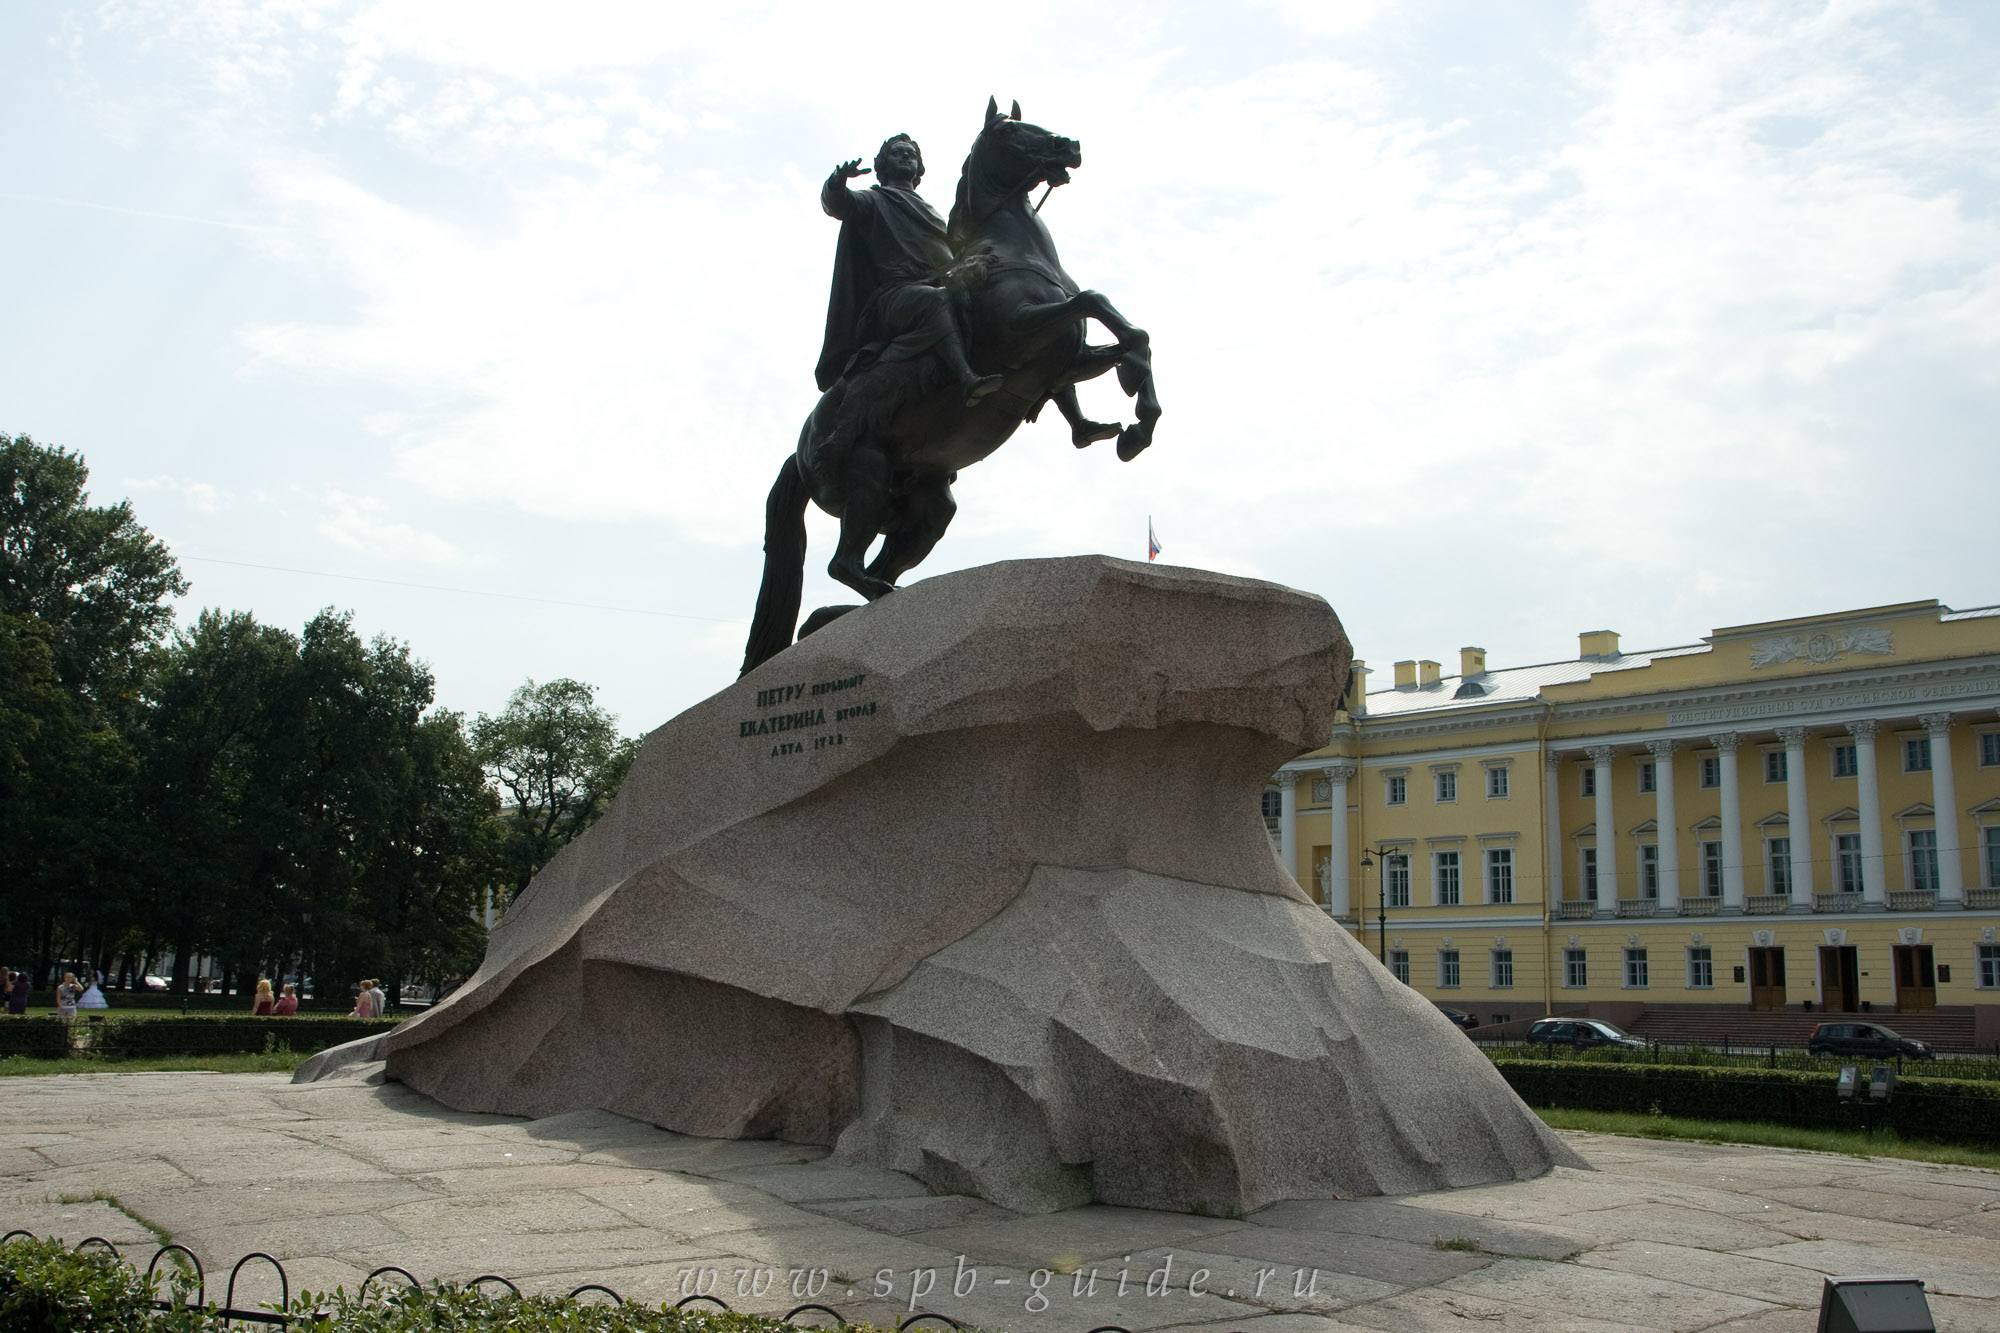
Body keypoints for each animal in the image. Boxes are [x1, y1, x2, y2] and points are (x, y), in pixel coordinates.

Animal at [748, 101, 1160, 676]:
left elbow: (1128, 337)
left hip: (924, 508)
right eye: (1011, 132)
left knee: (878, 564)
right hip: (866, 476)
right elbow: (1096, 301)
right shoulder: (1020, 334)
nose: (1070, 145)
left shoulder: (1065, 363)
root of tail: (800, 449)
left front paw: (1134, 423)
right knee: (843, 564)